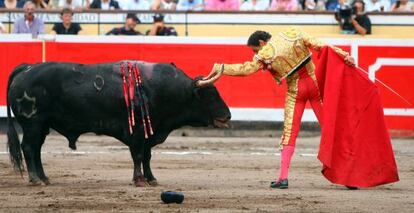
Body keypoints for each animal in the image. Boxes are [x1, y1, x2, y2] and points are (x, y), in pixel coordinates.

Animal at [6, 60, 231, 186]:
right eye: (210, 95)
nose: (228, 116)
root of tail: (26, 69)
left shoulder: (149, 133)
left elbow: (147, 157)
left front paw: (151, 179)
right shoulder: (137, 133)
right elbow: (138, 155)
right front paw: (139, 180)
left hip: (42, 125)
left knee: (36, 149)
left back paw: (44, 178)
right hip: (33, 124)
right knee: (29, 147)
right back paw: (35, 180)